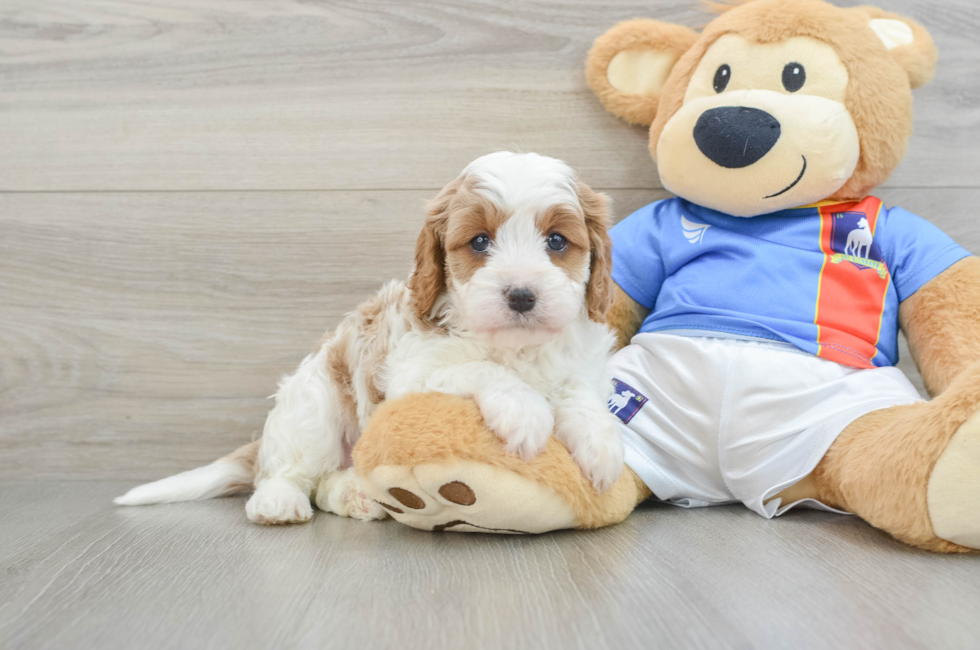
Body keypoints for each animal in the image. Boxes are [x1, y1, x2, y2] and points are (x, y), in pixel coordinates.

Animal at [113, 151, 620, 520]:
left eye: (556, 241)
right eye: (479, 242)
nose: (521, 295)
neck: (515, 347)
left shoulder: (580, 364)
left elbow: (578, 393)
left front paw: (601, 443)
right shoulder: (410, 374)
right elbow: (480, 368)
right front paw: (526, 411)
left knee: (326, 485)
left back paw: (357, 496)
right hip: (313, 406)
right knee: (291, 473)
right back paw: (279, 502)